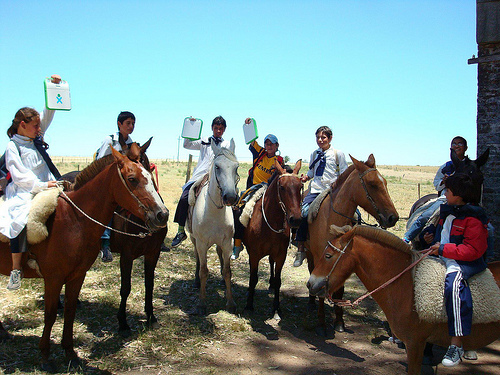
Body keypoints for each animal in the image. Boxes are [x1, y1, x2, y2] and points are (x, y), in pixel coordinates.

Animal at [0, 148, 168, 374]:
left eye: (150, 175)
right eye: (132, 179)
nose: (162, 215)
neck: (73, 220)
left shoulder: (79, 275)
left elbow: (70, 311)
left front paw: (70, 354)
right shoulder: (54, 278)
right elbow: (50, 314)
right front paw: (45, 357)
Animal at [189, 140, 240, 316]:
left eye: (236, 167)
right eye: (217, 166)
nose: (230, 197)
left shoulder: (227, 243)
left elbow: (227, 271)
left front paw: (231, 302)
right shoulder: (202, 243)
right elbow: (204, 271)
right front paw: (201, 303)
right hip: (194, 240)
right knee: (198, 258)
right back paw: (196, 282)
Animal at [241, 160, 302, 318]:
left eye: (300, 187)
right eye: (282, 187)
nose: (296, 220)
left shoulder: (281, 255)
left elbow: (279, 280)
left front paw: (276, 307)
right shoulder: (254, 255)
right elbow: (253, 278)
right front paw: (249, 305)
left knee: (270, 262)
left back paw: (271, 283)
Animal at [304, 154, 398, 336]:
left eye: (385, 182)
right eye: (372, 184)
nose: (393, 218)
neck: (331, 218)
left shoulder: (341, 259)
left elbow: (339, 290)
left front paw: (339, 321)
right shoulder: (322, 257)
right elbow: (320, 287)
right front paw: (321, 323)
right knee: (312, 271)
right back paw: (311, 302)